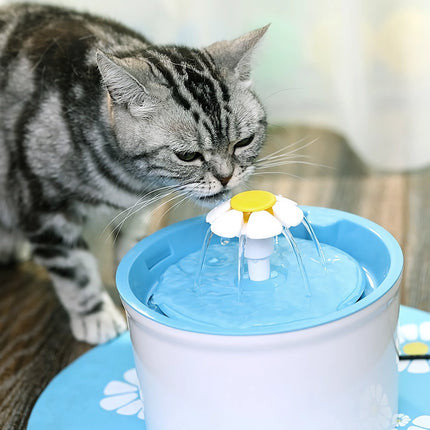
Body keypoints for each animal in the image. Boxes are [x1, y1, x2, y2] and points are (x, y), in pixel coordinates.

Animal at [0, 3, 268, 344]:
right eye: (187, 156)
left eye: (243, 142)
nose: (226, 176)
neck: (133, 184)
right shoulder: (42, 207)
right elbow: (75, 269)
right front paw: (96, 314)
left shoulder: (138, 212)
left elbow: (131, 245)